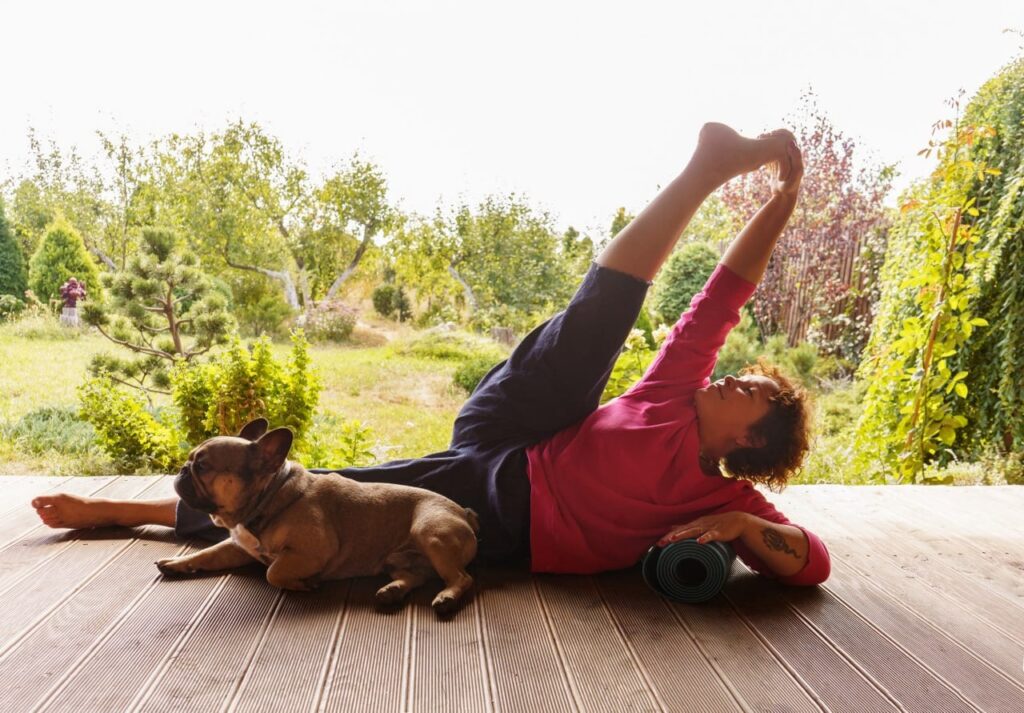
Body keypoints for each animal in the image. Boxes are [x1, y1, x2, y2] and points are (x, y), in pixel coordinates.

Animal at [154, 417, 479, 614]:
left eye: (203, 466)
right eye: (190, 460)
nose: (183, 469)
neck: (271, 497)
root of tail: (465, 513)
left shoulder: (313, 550)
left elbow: (273, 572)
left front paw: (303, 583)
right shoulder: (237, 547)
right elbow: (207, 554)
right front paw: (179, 563)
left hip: (430, 532)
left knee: (462, 578)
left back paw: (447, 597)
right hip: (397, 559)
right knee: (415, 576)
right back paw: (393, 590)